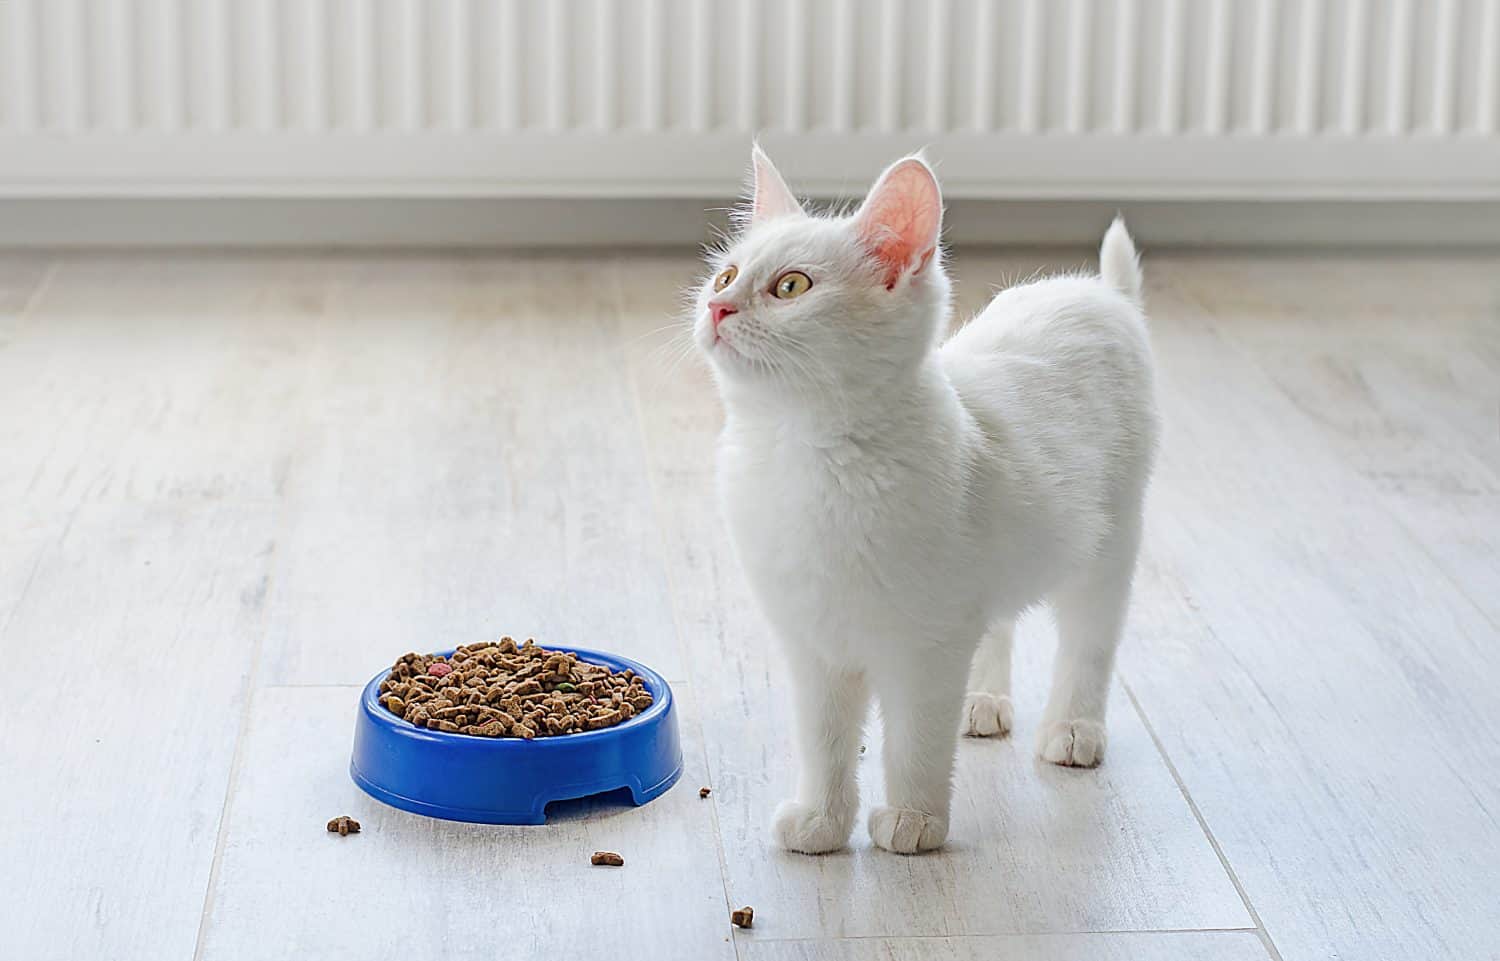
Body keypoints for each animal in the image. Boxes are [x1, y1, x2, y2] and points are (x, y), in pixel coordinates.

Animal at [690, 148, 1158, 851]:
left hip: (1110, 543)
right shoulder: (814, 644)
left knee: (1089, 640)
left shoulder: (925, 647)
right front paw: (821, 821)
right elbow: (824, 741)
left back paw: (1074, 729)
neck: (803, 455)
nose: (719, 307)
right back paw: (984, 701)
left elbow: (914, 741)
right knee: (999, 621)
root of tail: (1099, 293)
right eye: (726, 274)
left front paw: (914, 821)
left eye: (791, 287)